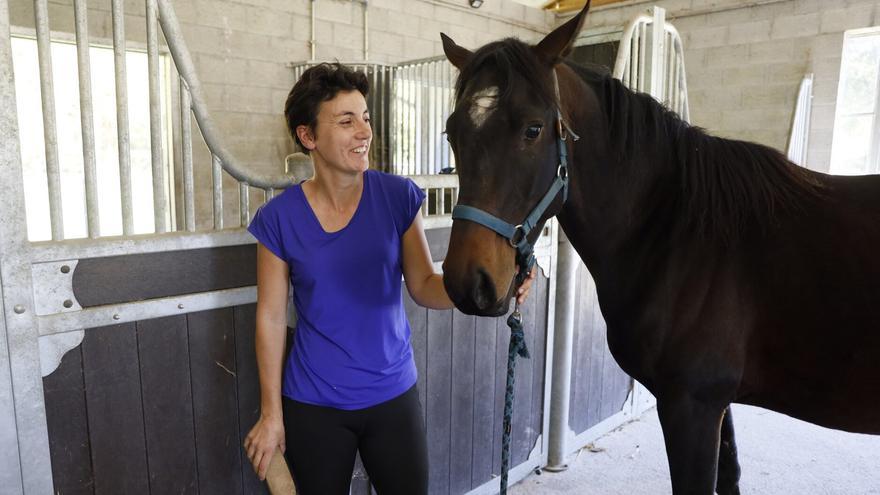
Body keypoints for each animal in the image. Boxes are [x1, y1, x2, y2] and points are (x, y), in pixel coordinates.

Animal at [438, 3, 880, 494]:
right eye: (452, 133)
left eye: (533, 129)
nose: (468, 283)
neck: (680, 233)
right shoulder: (718, 406)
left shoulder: (692, 405)